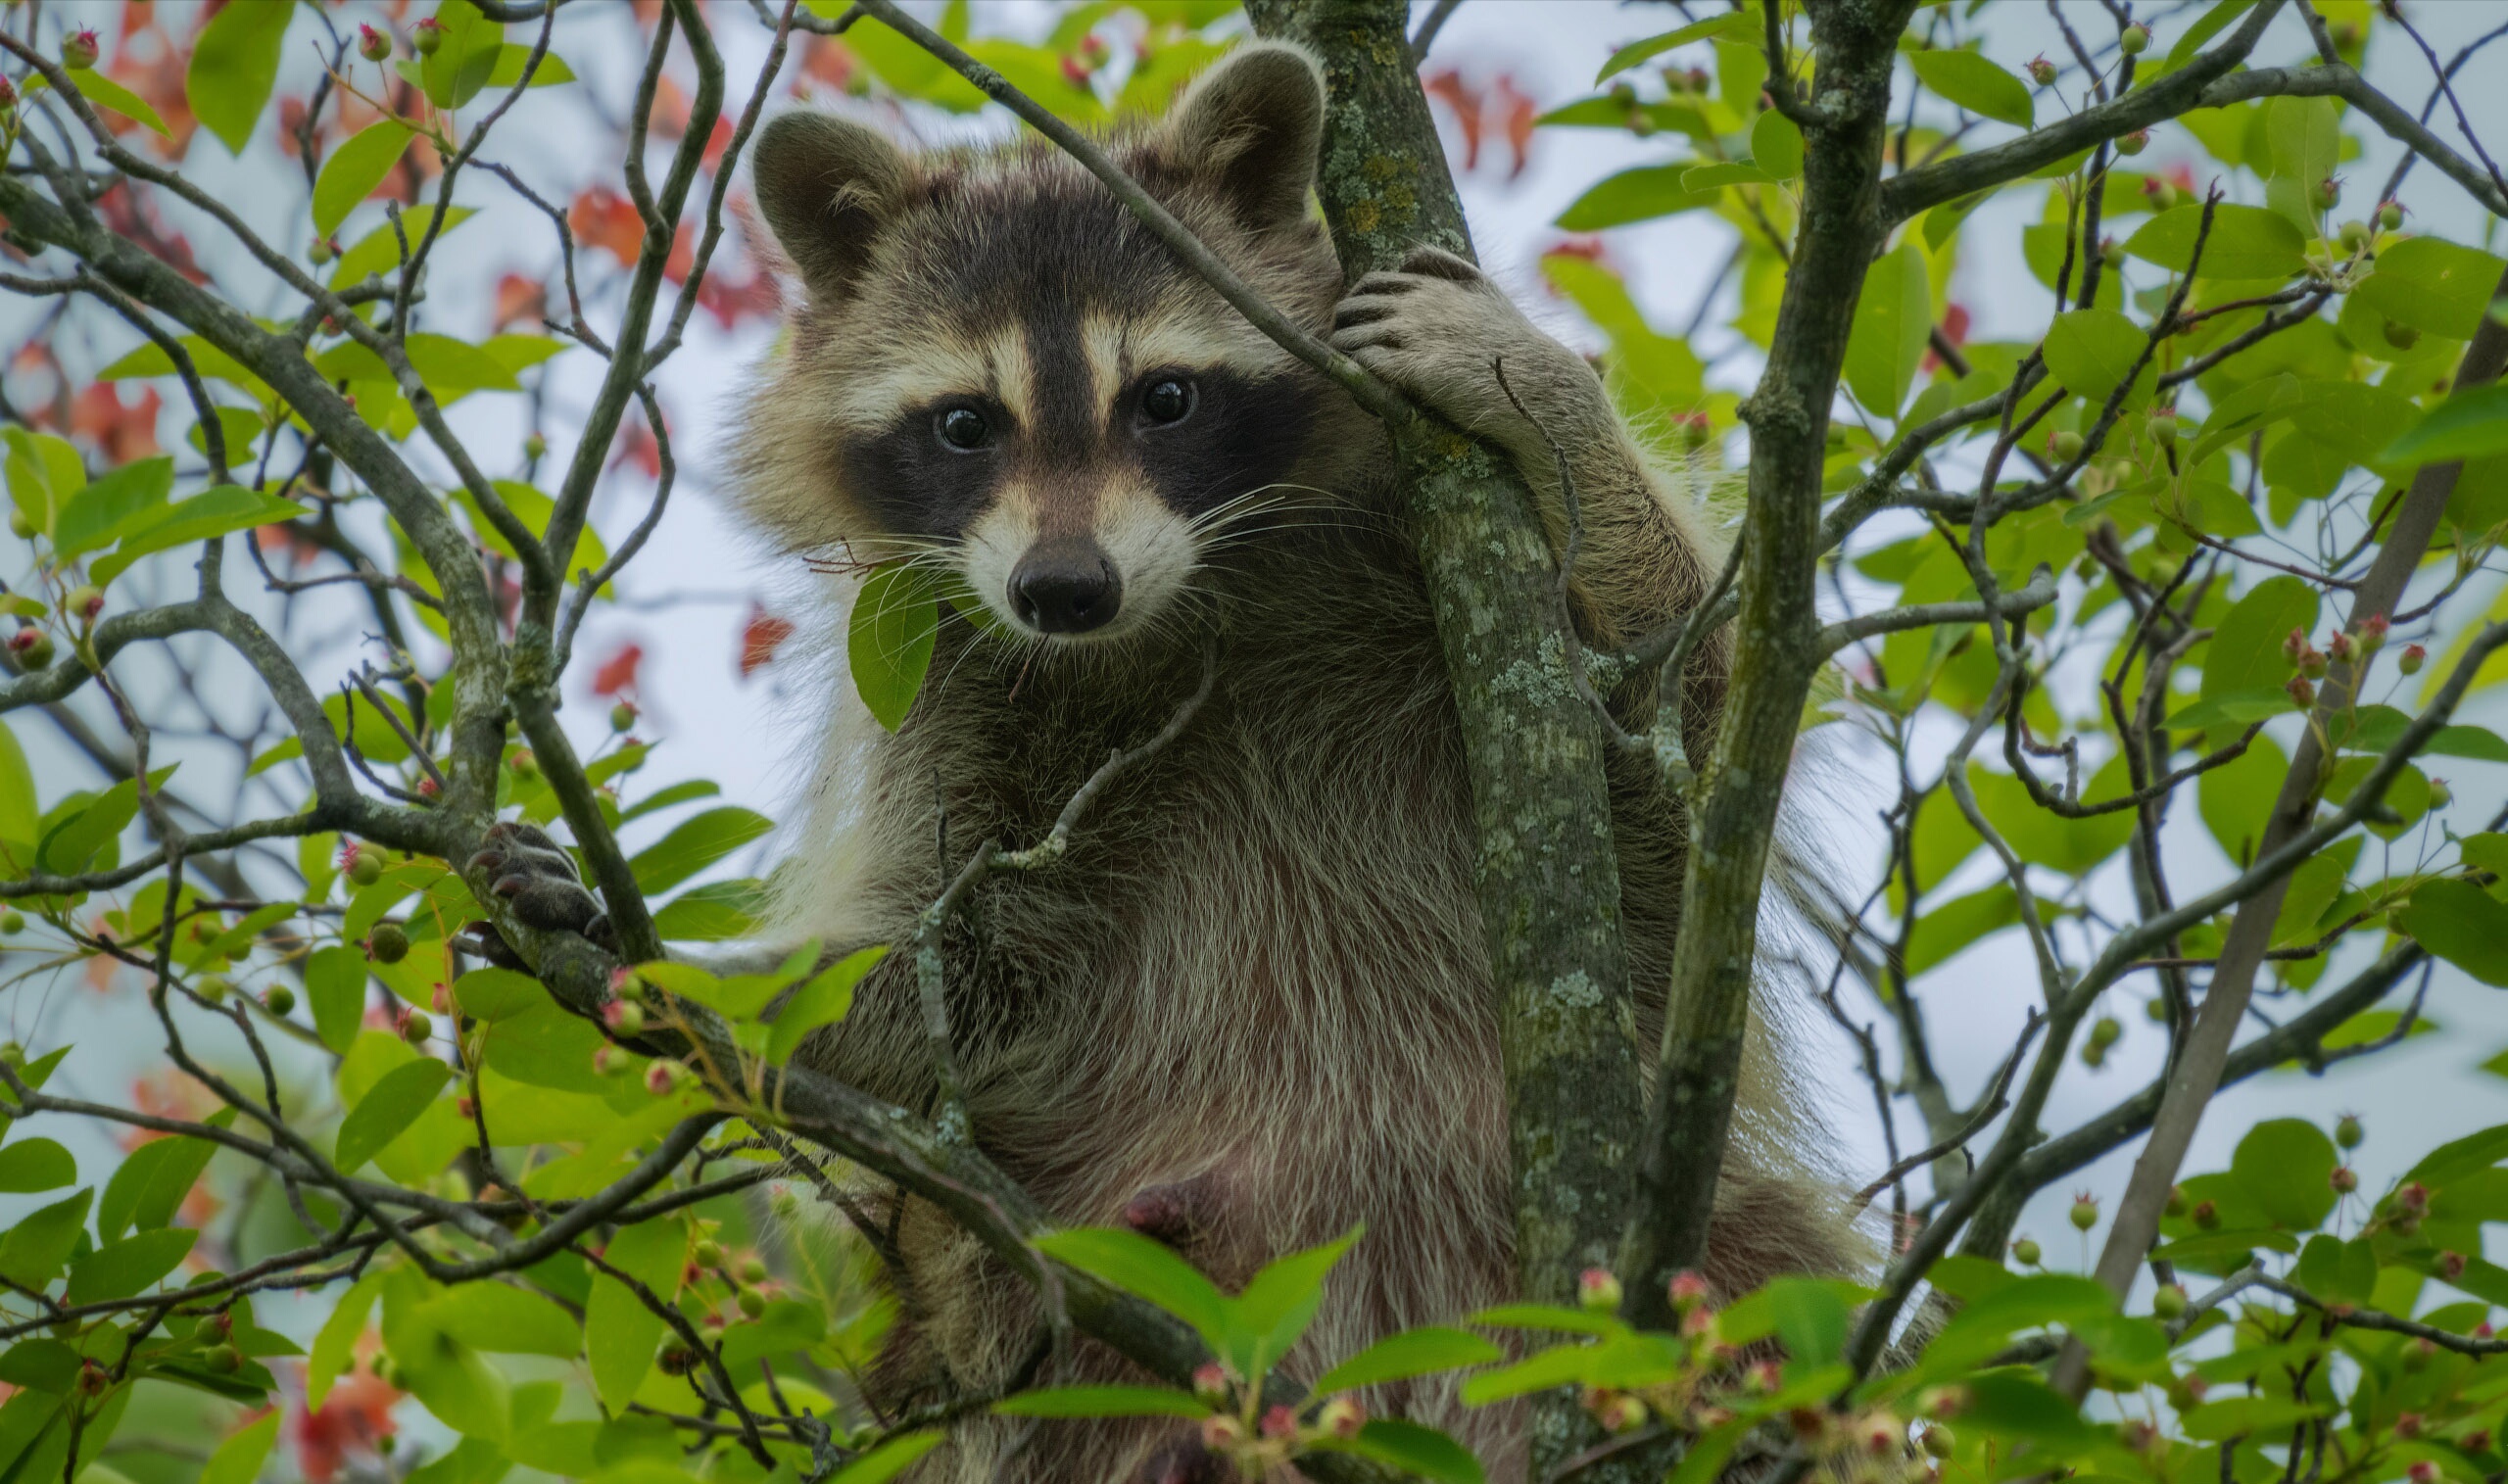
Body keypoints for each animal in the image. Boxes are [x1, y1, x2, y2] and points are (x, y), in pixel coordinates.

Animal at [727, 40, 1846, 1484]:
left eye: (1166, 399)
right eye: (965, 423)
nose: (1064, 589)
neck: (1181, 612)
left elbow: (1703, 739)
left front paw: (1548, 401)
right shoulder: (945, 679)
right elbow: (960, 955)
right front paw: (720, 973)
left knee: (1777, 1262)